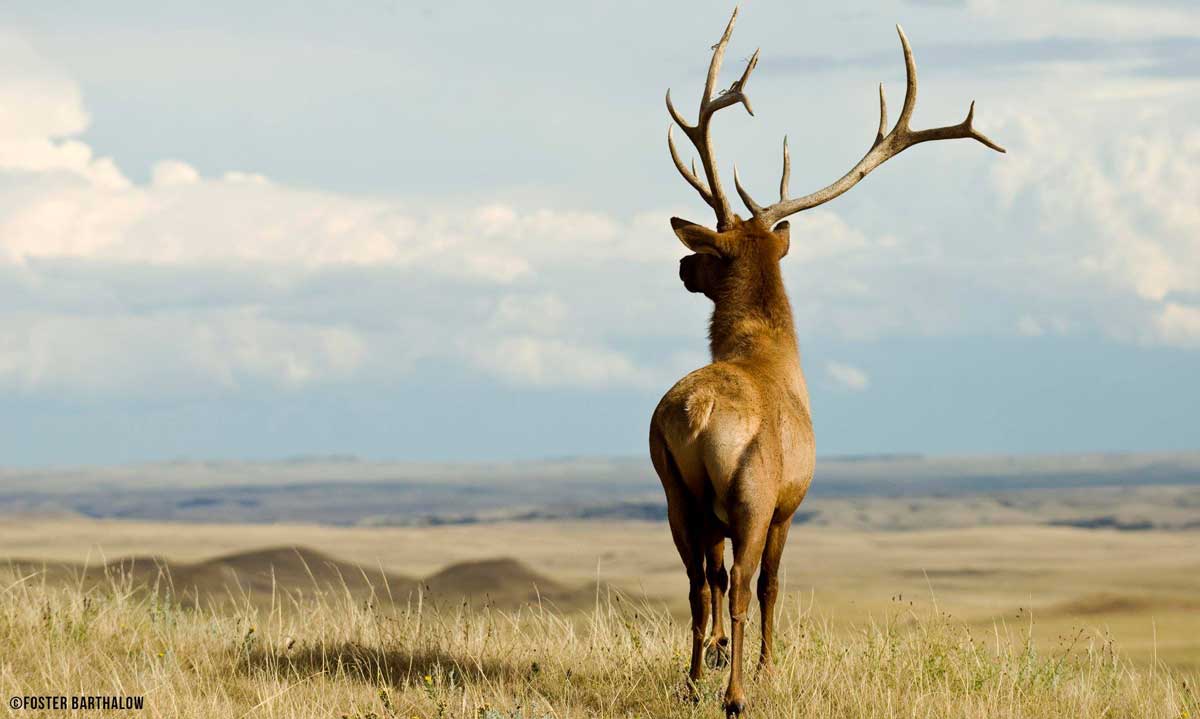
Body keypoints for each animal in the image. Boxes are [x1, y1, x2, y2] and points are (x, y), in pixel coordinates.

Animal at [648, 8, 1004, 716]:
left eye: (710, 249)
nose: (680, 264)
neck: (772, 355)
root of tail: (696, 416)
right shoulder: (790, 503)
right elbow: (770, 587)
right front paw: (765, 669)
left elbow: (718, 585)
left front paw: (721, 665)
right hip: (752, 493)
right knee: (741, 584)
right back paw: (736, 694)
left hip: (675, 489)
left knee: (700, 583)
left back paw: (693, 682)